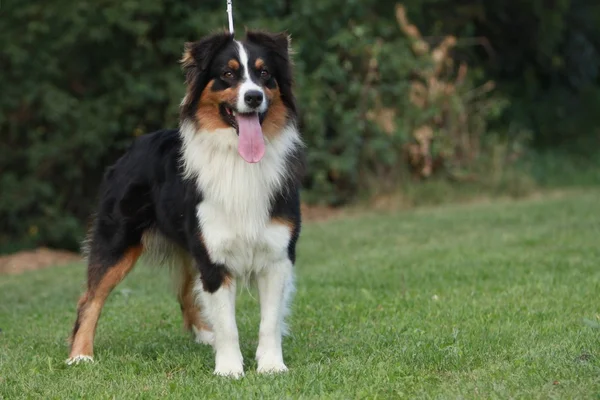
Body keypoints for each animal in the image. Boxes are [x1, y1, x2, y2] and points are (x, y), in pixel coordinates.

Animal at [67, 29, 302, 376]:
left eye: (264, 74)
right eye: (227, 74)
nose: (254, 97)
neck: (238, 160)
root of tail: (136, 143)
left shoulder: (277, 255)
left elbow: (269, 321)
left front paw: (271, 366)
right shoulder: (213, 257)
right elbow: (228, 323)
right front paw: (229, 370)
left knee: (184, 292)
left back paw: (205, 334)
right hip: (118, 241)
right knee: (90, 298)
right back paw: (80, 355)